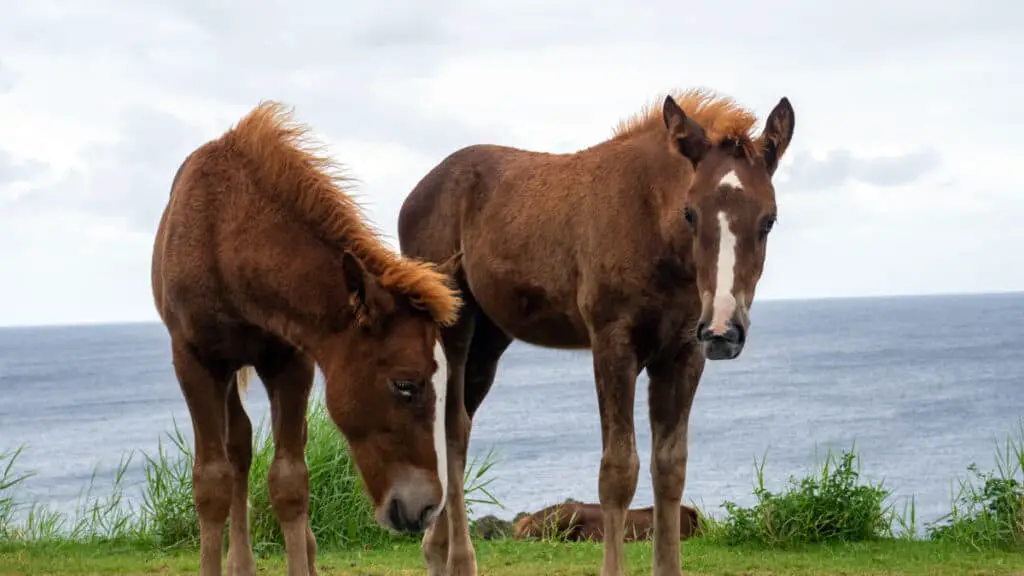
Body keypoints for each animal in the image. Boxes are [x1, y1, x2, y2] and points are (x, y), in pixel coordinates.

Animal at [149, 101, 462, 573]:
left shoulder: (292, 362)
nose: (426, 508)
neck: (225, 235)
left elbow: (290, 480)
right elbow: (212, 483)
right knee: (237, 446)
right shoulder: (195, 361)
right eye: (405, 385)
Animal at [395, 86, 794, 573]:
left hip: (489, 341)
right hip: (454, 326)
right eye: (691, 214)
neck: (651, 222)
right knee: (452, 428)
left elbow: (670, 469)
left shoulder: (683, 354)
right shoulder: (612, 343)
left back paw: (435, 551)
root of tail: (416, 194)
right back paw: (458, 559)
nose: (723, 329)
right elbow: (618, 472)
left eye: (769, 219)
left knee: (460, 427)